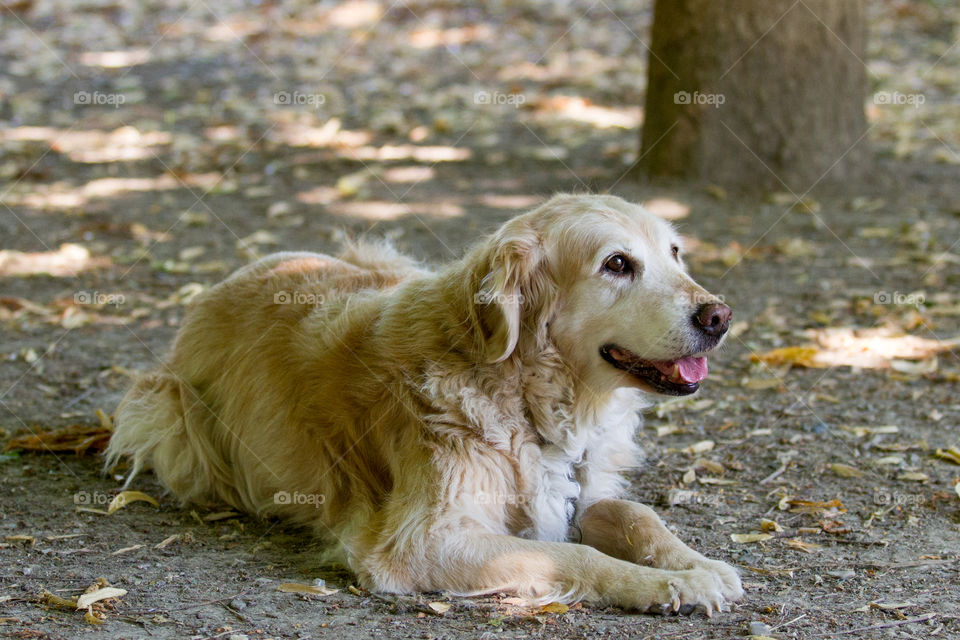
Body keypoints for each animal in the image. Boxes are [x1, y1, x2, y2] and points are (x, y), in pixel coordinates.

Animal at [109, 194, 748, 616]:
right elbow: (571, 558)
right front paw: (670, 587)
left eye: (675, 253)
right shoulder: (421, 541)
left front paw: (698, 565)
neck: (527, 399)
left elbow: (634, 514)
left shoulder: (581, 488)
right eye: (617, 264)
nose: (719, 316)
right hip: (176, 419)